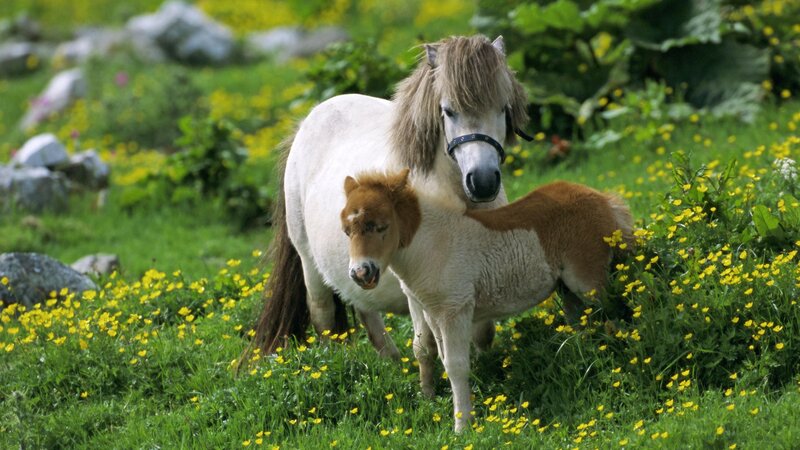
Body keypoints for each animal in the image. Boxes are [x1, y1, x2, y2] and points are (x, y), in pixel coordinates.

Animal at [250, 35, 530, 358]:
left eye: (503, 108)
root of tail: (307, 122)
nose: (483, 182)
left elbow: (483, 332)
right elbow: (428, 343)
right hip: (309, 262)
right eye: (448, 111)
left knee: (364, 308)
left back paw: (392, 361)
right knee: (323, 316)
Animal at [341, 169, 634, 432]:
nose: (360, 273)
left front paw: (462, 426)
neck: (432, 245)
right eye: (346, 231)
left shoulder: (455, 310)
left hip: (588, 283)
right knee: (582, 325)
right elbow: (439, 358)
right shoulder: (434, 313)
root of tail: (604, 199)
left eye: (382, 226)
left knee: (616, 315)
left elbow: (457, 366)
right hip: (567, 289)